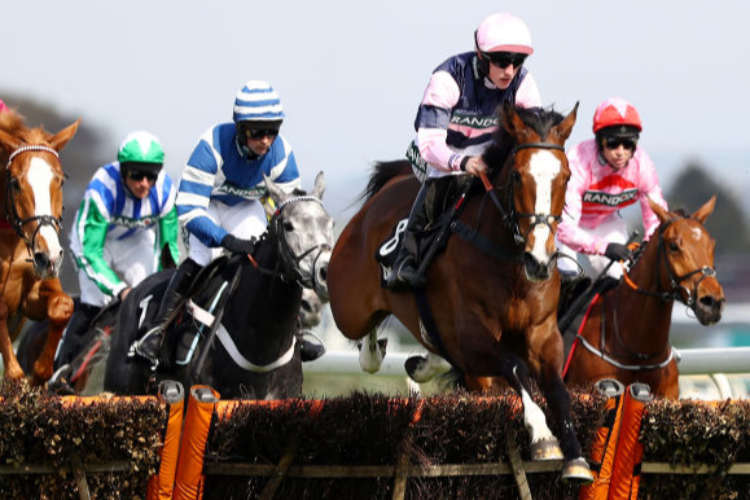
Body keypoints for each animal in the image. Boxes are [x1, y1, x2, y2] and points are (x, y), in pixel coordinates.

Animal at [0, 108, 81, 382]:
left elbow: (63, 307)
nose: (50, 256)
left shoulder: (32, 293)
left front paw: (38, 377)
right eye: (15, 183)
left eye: (60, 181)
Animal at [328, 103, 592, 482]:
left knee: (434, 349)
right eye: (517, 176)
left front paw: (576, 457)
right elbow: (515, 367)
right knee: (363, 336)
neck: (510, 262)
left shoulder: (543, 335)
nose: (540, 261)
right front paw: (543, 435)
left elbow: (557, 389)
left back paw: (424, 361)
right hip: (348, 307)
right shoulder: (471, 336)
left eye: (566, 177)